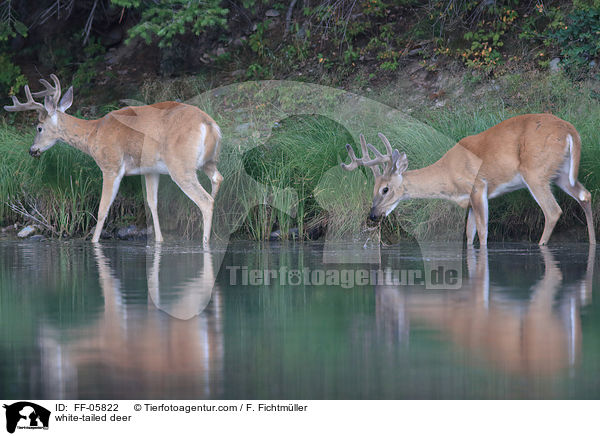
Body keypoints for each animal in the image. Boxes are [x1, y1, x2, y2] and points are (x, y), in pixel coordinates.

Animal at [4, 73, 223, 247]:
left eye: (39, 128)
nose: (32, 150)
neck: (94, 133)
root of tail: (209, 125)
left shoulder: (111, 166)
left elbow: (103, 209)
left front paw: (93, 242)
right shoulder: (150, 170)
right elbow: (152, 203)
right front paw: (159, 241)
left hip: (180, 165)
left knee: (206, 200)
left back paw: (205, 243)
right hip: (208, 162)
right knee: (217, 180)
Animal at [342, 114, 596, 245]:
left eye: (385, 189)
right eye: (373, 188)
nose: (372, 215)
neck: (447, 176)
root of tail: (571, 132)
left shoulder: (477, 187)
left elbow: (483, 232)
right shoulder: (470, 202)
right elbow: (469, 233)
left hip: (535, 172)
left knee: (553, 211)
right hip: (561, 173)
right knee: (585, 195)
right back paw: (593, 244)